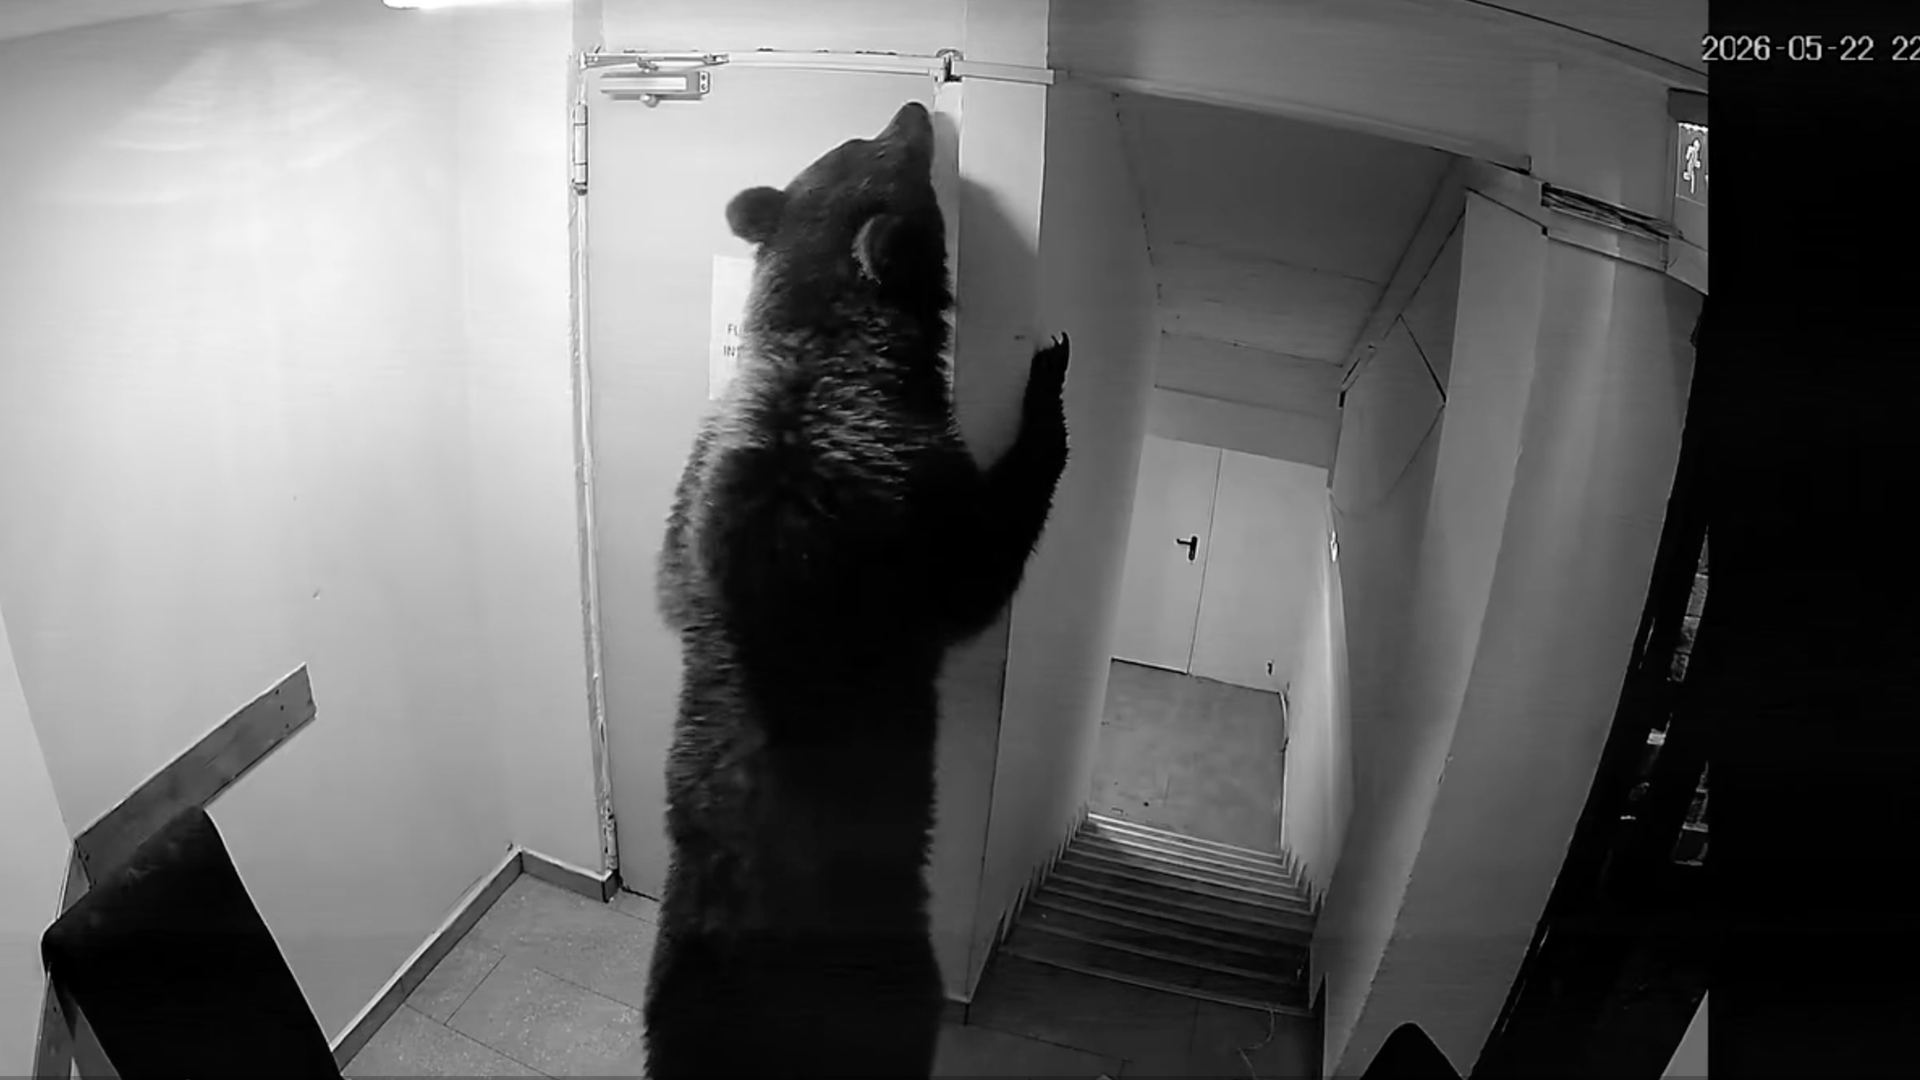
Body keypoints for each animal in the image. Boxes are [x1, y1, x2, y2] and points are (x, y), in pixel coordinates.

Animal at [641, 99, 1072, 1079]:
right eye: (895, 157)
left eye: (853, 142)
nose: (916, 108)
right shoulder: (903, 516)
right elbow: (983, 564)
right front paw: (1050, 381)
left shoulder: (697, 500)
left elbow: (671, 571)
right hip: (887, 968)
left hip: (678, 980)